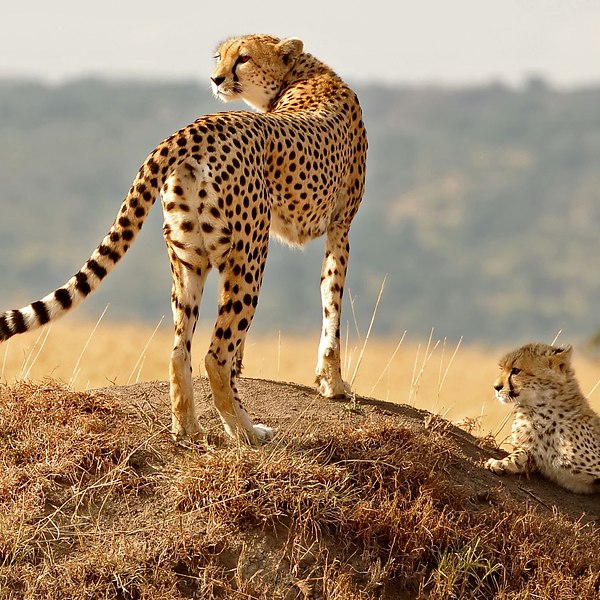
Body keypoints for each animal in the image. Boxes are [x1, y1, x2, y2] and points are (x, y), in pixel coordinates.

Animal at [0, 34, 368, 446]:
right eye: (219, 57)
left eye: (243, 58)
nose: (216, 78)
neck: (304, 73)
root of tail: (198, 126)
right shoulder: (340, 228)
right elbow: (332, 303)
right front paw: (334, 383)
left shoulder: (333, 227)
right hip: (249, 255)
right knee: (214, 355)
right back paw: (245, 432)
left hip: (189, 256)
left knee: (180, 351)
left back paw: (187, 428)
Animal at [488, 344, 600, 494]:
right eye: (502, 369)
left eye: (516, 370)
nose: (496, 387)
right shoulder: (536, 459)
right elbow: (520, 453)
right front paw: (501, 462)